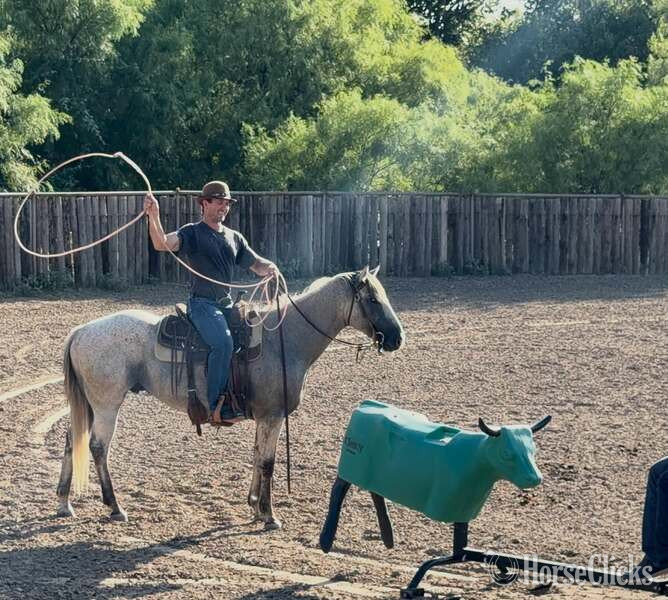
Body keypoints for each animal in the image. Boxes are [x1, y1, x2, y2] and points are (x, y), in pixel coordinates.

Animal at [56, 266, 405, 529]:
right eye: (373, 299)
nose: (398, 338)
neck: (286, 338)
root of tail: (81, 331)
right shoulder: (272, 415)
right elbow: (268, 462)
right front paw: (269, 515)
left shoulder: (264, 417)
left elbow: (257, 455)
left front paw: (254, 505)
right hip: (106, 404)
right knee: (98, 447)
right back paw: (114, 506)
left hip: (89, 404)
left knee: (72, 440)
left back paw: (63, 502)